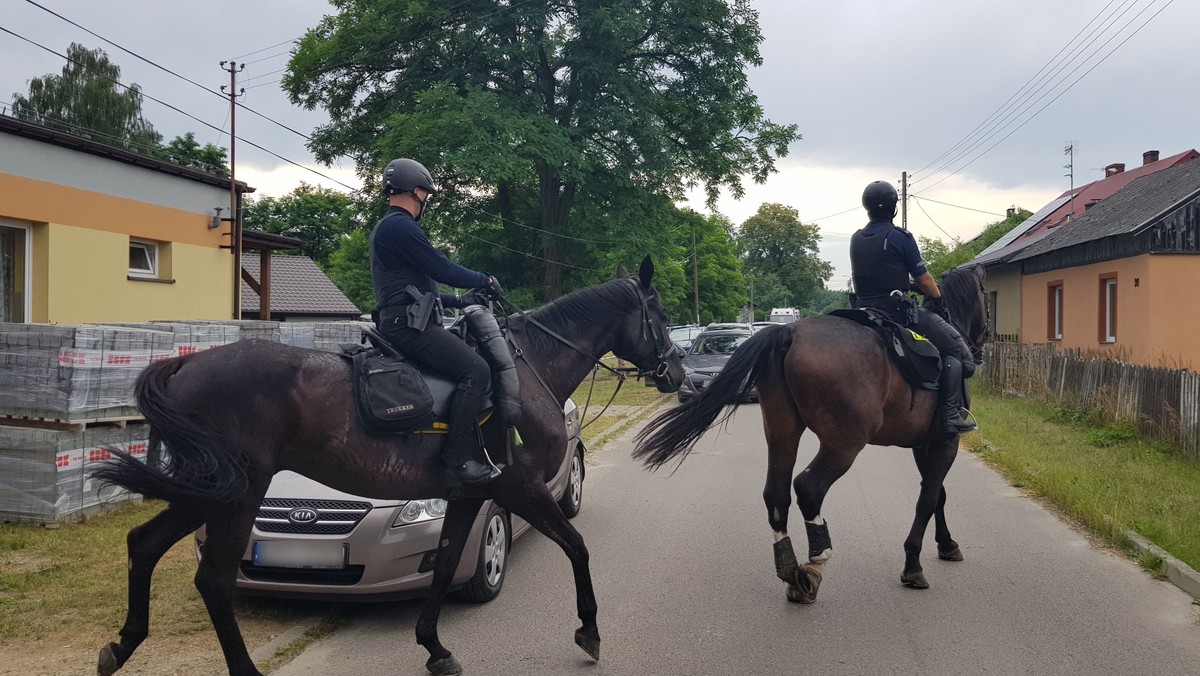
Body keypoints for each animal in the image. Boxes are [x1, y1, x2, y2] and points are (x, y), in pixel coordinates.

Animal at [91, 258, 686, 676]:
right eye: (660, 316)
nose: (677, 373)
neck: (528, 367)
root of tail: (186, 364)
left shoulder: (469, 496)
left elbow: (444, 567)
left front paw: (435, 647)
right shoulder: (523, 489)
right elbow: (577, 547)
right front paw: (589, 630)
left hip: (209, 491)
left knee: (144, 543)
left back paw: (122, 646)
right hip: (236, 494)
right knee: (213, 578)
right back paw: (239, 669)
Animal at [633, 264, 988, 602]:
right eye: (986, 296)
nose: (982, 345)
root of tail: (788, 333)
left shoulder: (925, 443)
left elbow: (937, 493)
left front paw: (946, 543)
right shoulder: (946, 439)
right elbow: (929, 498)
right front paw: (914, 563)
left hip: (782, 431)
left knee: (776, 496)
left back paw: (791, 572)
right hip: (844, 443)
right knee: (809, 488)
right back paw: (816, 562)